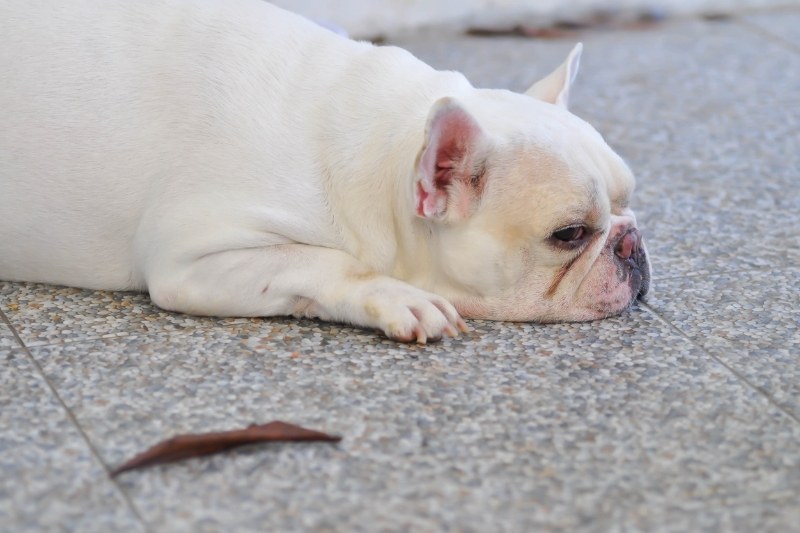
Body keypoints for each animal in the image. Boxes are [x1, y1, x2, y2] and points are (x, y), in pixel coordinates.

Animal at [0, 0, 648, 340]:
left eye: (630, 200)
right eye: (568, 234)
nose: (631, 243)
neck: (386, 145)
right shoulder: (191, 257)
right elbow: (323, 261)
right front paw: (397, 295)